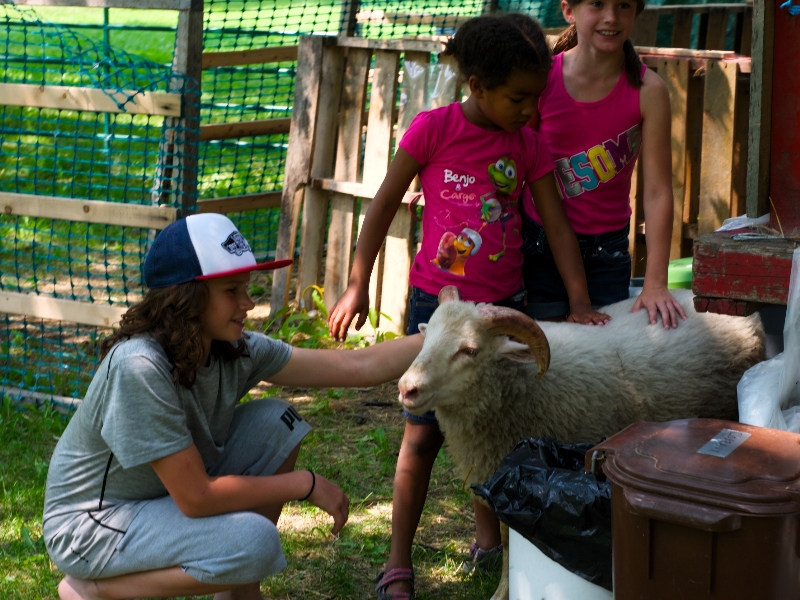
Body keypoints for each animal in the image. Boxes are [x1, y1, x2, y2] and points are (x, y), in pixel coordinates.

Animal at [396, 286, 764, 600]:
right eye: (426, 336)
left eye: (470, 350)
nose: (406, 388)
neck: (523, 386)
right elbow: (507, 539)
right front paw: (502, 591)